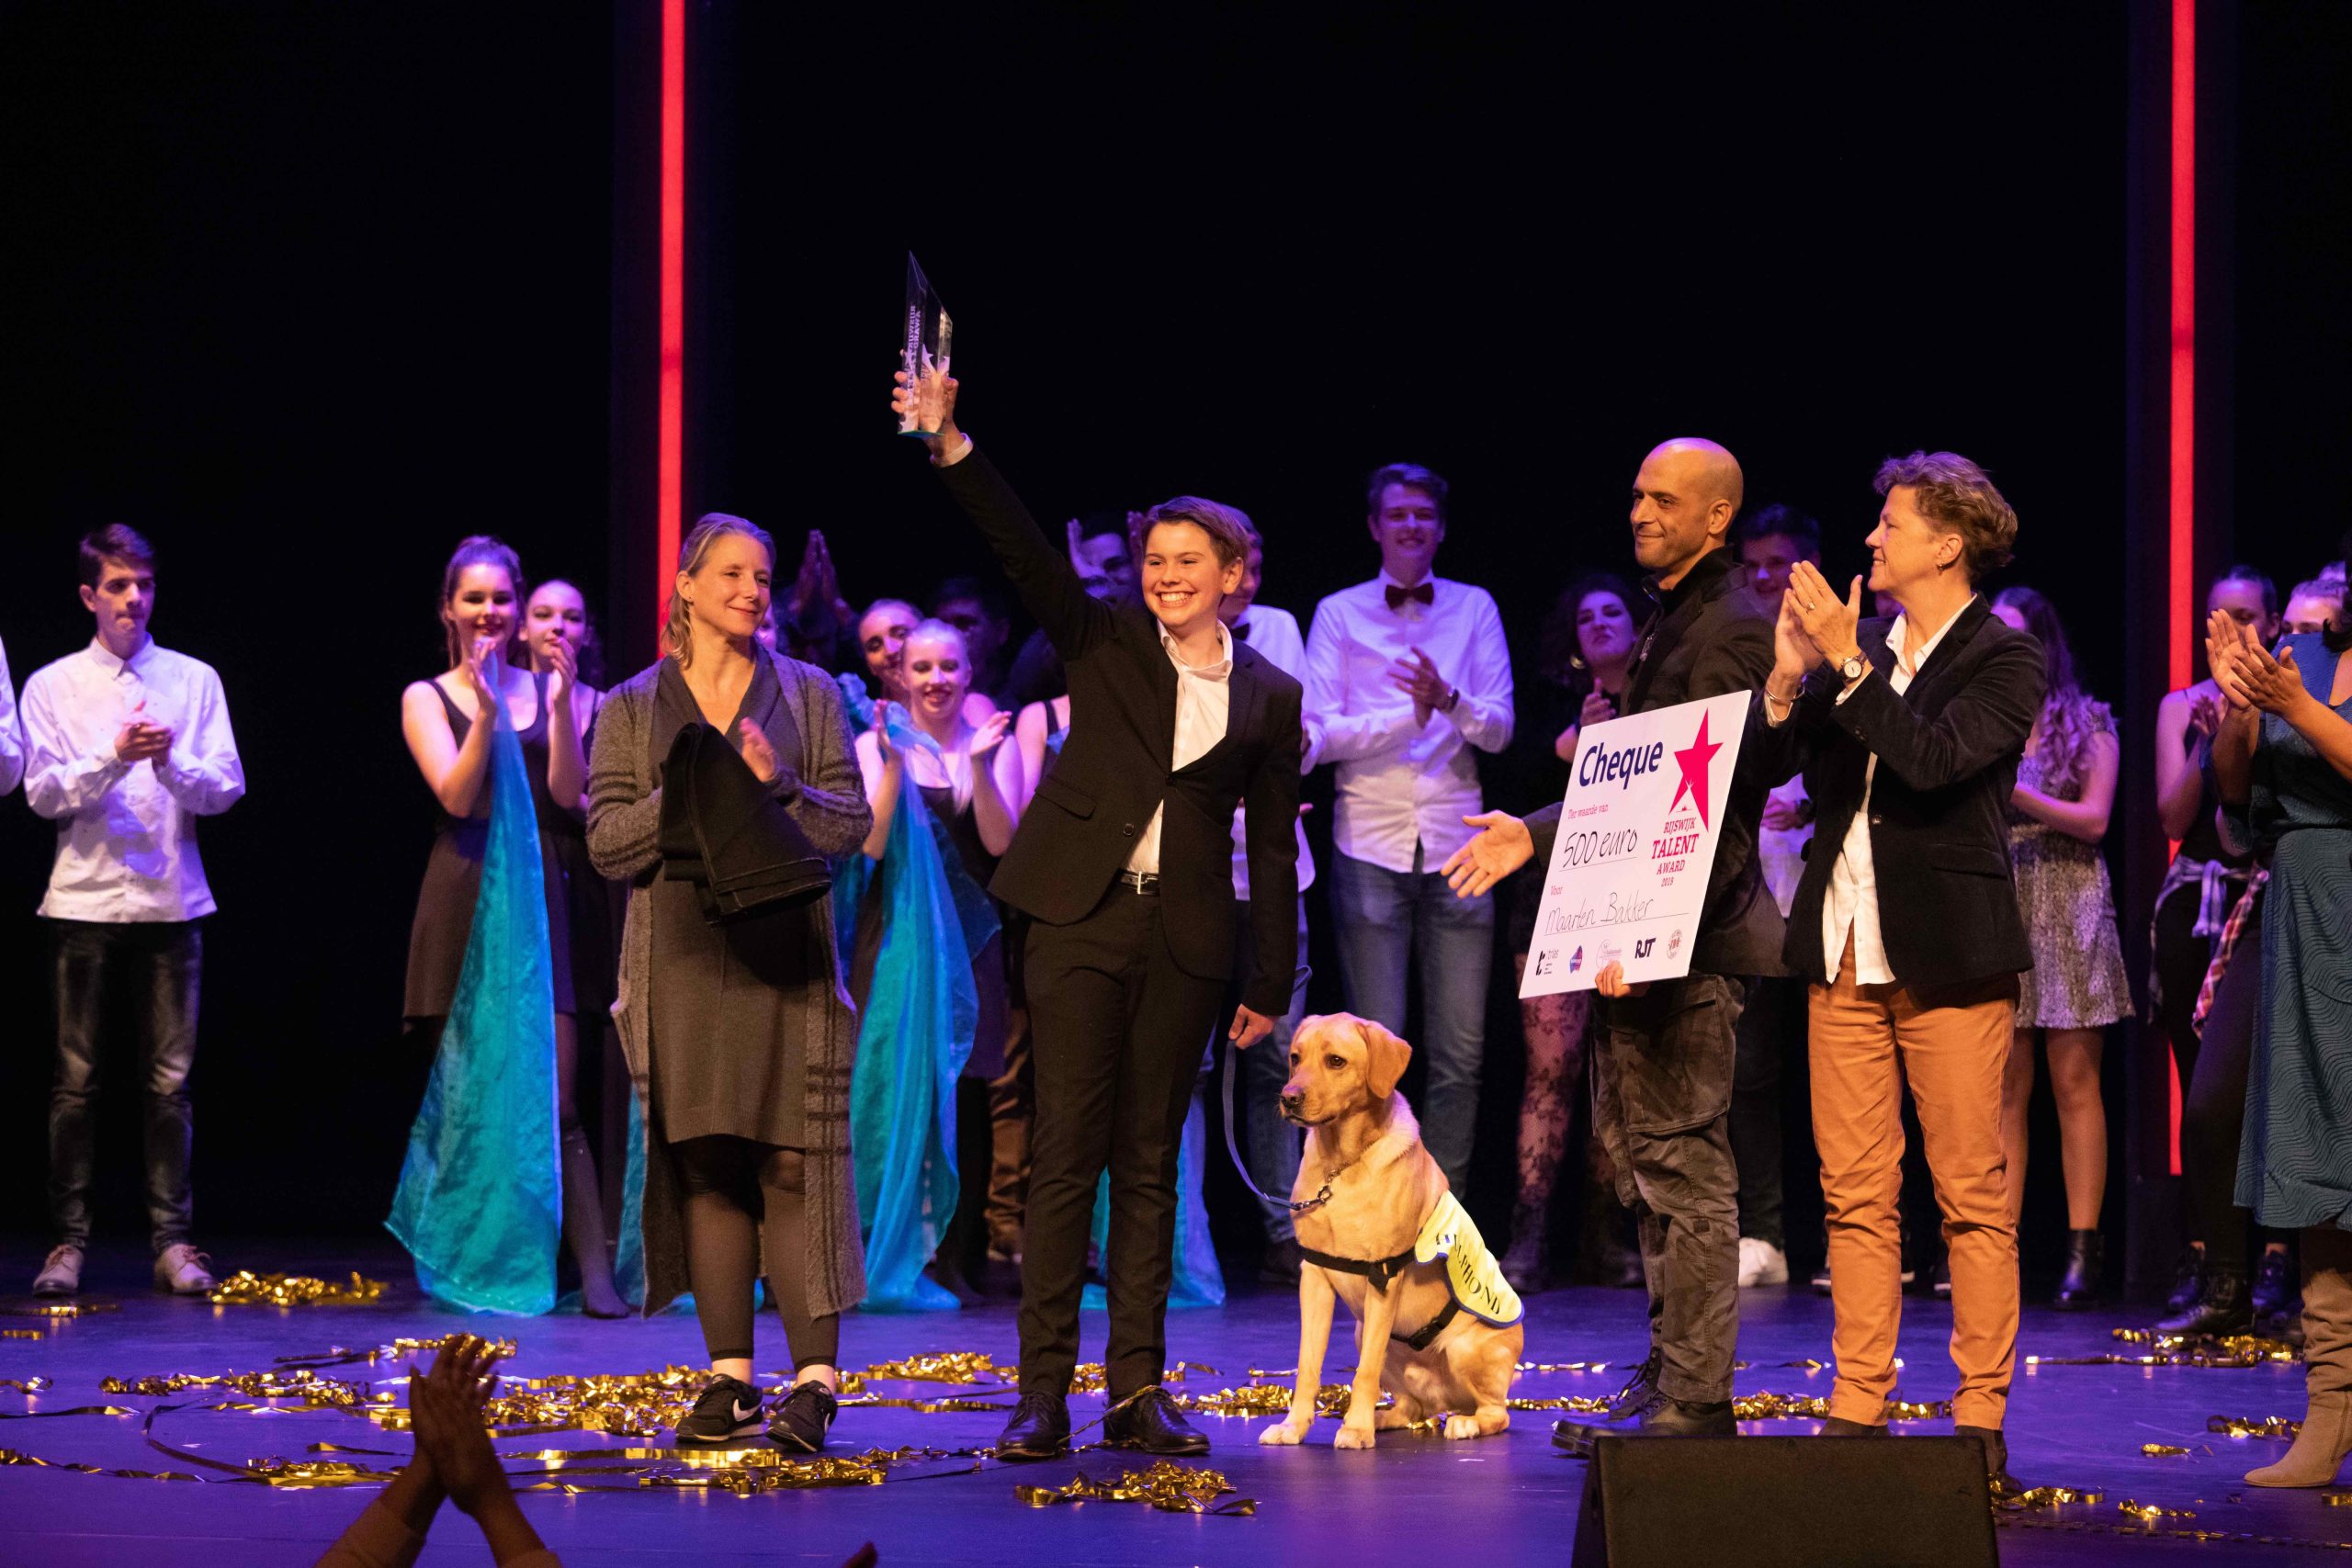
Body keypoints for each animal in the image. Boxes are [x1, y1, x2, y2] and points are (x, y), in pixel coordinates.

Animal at [1250, 1020, 1523, 1448]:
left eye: (1336, 1061)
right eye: (1295, 1057)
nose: (1289, 1098)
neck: (1340, 1165)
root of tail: (1445, 1400)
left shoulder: (1383, 1278)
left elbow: (1365, 1372)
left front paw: (1356, 1430)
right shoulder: (1314, 1277)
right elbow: (1308, 1365)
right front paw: (1294, 1427)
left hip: (1463, 1349)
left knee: (1497, 1413)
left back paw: (1465, 1424)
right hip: (1366, 1333)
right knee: (1413, 1407)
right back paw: (1384, 1417)